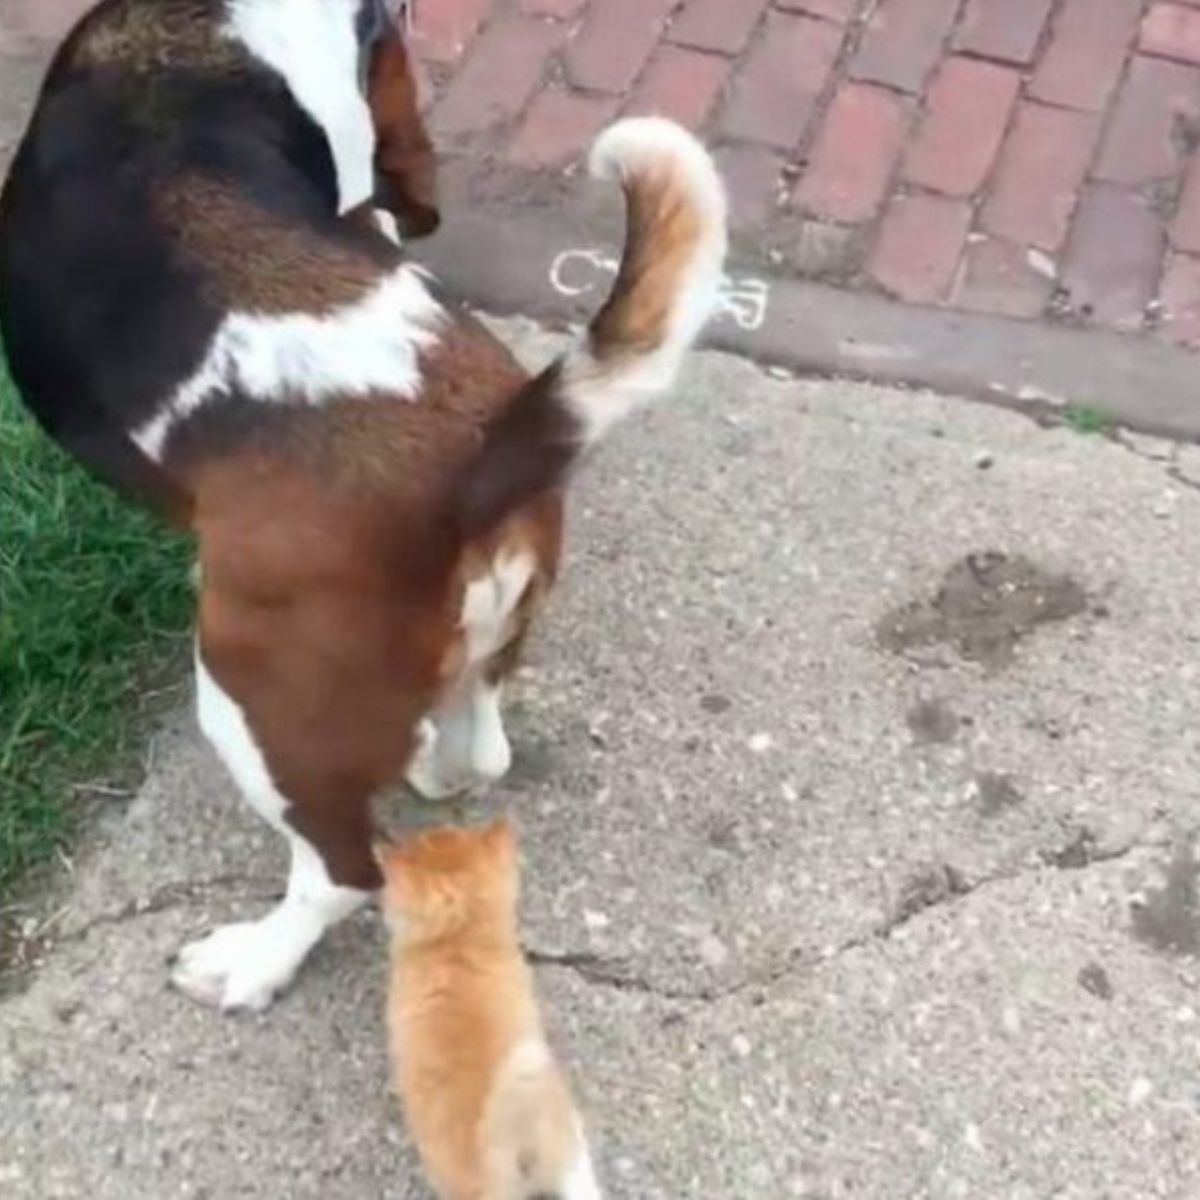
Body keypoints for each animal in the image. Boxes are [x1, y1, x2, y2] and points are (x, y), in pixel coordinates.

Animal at [0, 0, 724, 1012]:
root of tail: (476, 461)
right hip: (483, 639)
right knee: (474, 752)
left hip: (249, 700)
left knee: (344, 872)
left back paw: (250, 961)